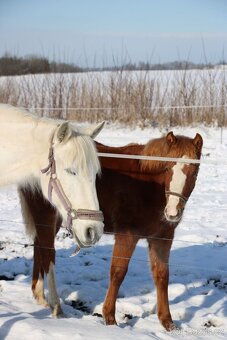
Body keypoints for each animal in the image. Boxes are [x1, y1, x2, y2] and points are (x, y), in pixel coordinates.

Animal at [18, 131, 202, 330]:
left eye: (194, 172)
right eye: (167, 169)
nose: (173, 212)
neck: (149, 187)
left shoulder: (162, 238)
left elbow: (162, 275)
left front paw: (167, 322)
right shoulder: (127, 235)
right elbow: (118, 272)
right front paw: (110, 318)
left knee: (39, 247)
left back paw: (41, 297)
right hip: (45, 215)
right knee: (47, 252)